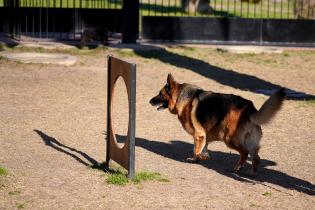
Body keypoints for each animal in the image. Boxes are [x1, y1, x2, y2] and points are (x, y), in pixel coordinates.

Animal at [149, 74, 286, 176]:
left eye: (160, 94)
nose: (149, 101)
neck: (180, 97)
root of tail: (250, 109)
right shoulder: (203, 136)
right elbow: (201, 148)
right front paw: (197, 159)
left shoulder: (199, 134)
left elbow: (196, 150)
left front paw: (201, 158)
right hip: (250, 141)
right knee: (256, 158)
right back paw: (251, 173)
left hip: (229, 139)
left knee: (244, 153)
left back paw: (237, 168)